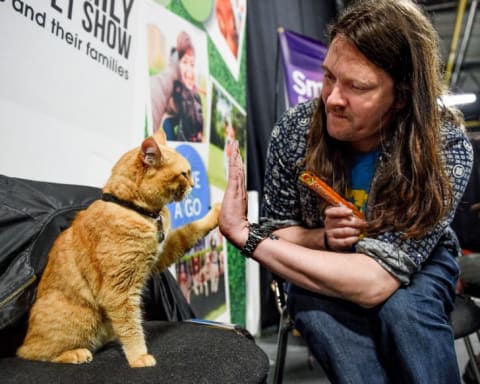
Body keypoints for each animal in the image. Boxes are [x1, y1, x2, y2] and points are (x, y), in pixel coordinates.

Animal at [15, 130, 222, 368]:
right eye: (184, 174)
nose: (194, 185)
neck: (132, 209)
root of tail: (24, 339)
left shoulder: (159, 255)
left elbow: (190, 231)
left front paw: (217, 213)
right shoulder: (119, 291)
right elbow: (131, 327)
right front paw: (139, 357)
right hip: (79, 318)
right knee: (34, 353)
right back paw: (75, 354)